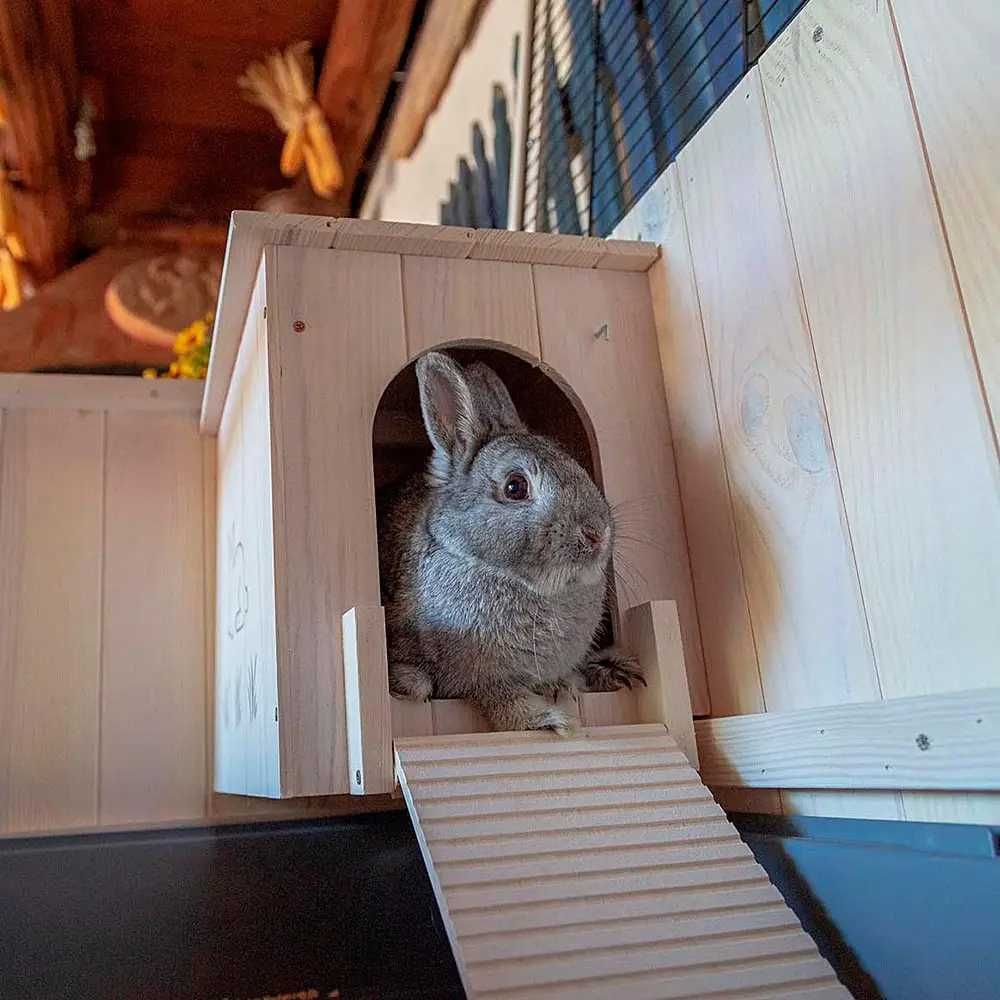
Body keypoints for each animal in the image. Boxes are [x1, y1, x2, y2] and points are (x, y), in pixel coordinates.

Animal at [376, 352, 640, 736]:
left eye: (576, 466)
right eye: (515, 487)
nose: (597, 534)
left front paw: (561, 687)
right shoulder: (482, 679)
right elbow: (504, 704)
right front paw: (550, 721)